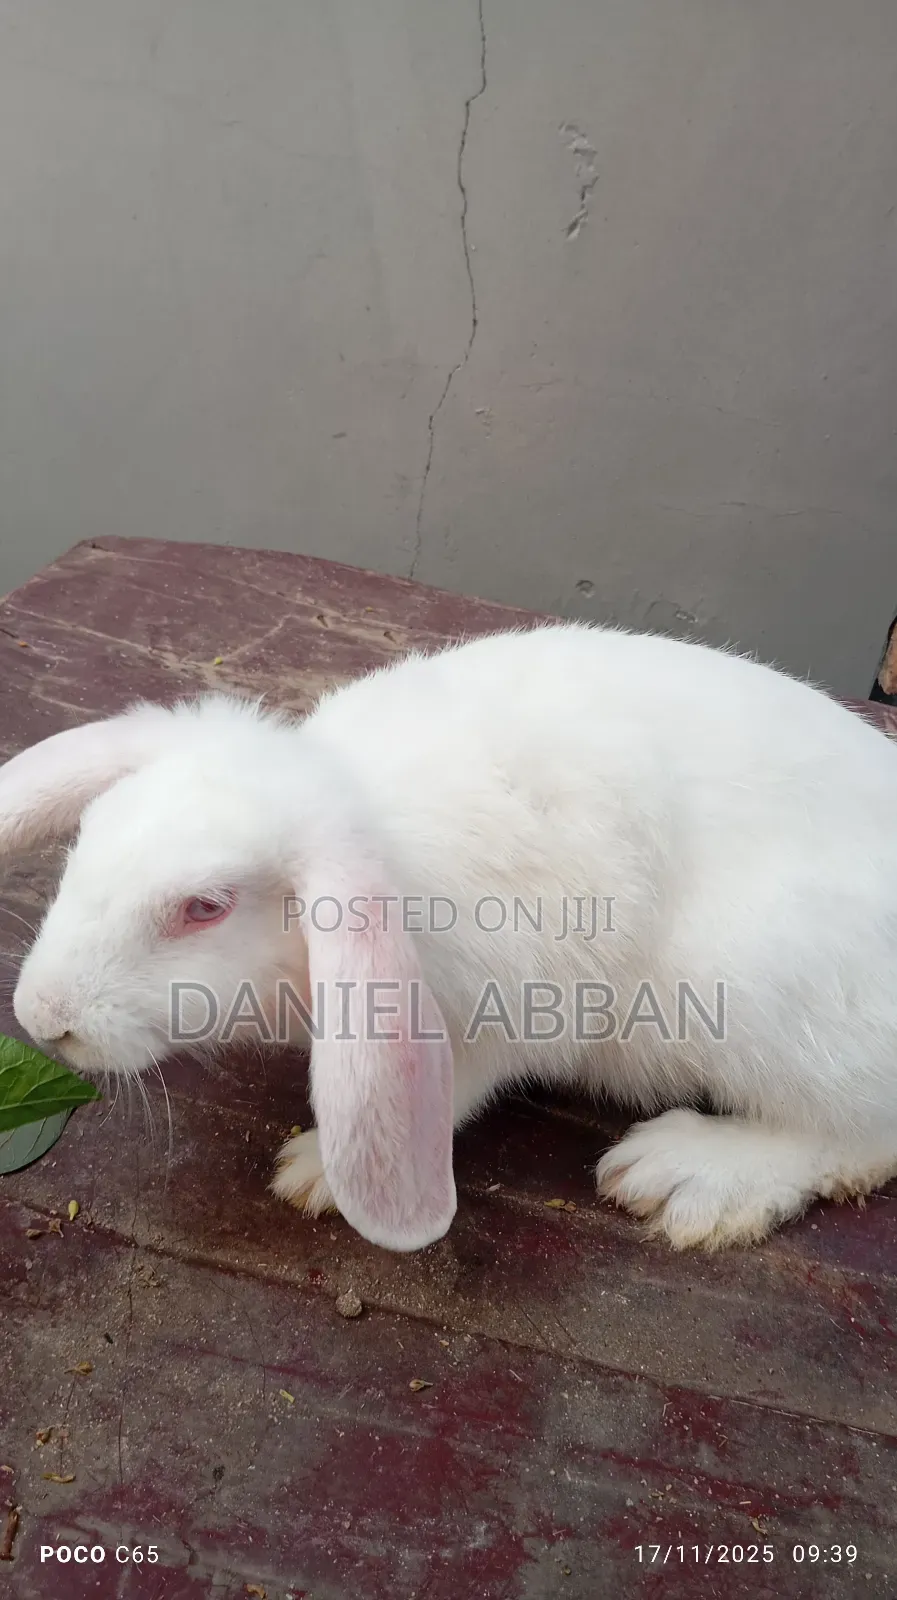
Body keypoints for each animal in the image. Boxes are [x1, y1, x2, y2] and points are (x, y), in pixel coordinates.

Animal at [3, 619, 897, 1254]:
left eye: (204, 907)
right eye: (87, 835)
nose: (42, 1019)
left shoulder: (504, 1009)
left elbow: (458, 1087)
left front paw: (316, 1171)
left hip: (756, 996)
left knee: (857, 1136)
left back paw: (684, 1177)